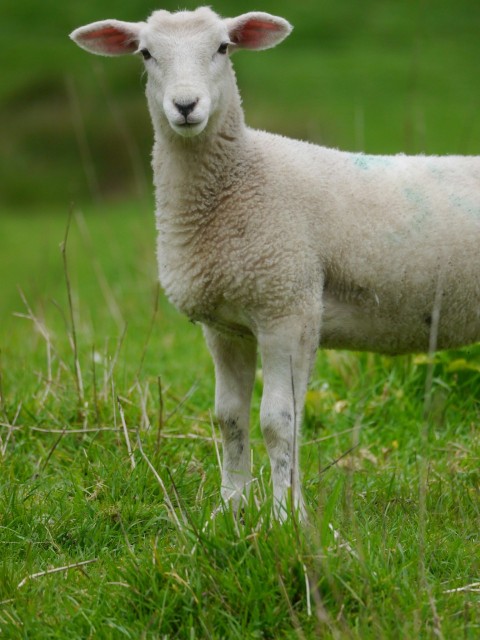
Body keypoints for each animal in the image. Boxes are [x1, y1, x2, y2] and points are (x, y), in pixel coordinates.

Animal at [71, 6, 480, 520]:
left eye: (223, 47)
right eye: (146, 53)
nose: (185, 106)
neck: (239, 180)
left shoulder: (287, 306)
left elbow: (278, 421)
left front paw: (285, 516)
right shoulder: (225, 326)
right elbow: (229, 418)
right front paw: (230, 509)